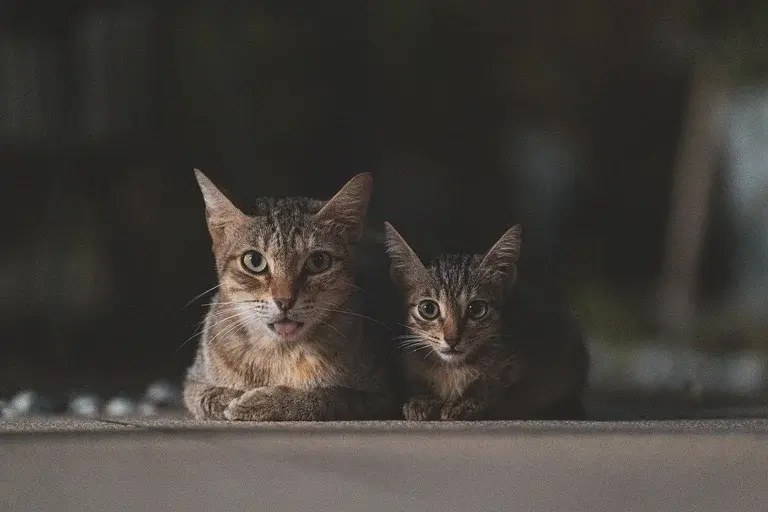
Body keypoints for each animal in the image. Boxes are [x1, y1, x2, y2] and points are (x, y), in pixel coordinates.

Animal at [183, 170, 392, 418]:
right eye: (254, 261)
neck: (281, 355)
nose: (284, 301)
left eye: (318, 261)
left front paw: (262, 402)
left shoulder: (381, 397)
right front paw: (231, 398)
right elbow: (206, 396)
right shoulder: (194, 382)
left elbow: (326, 397)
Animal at [384, 223, 588, 420]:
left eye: (476, 309)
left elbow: (497, 385)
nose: (452, 339)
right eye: (428, 309)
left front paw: (466, 402)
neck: (453, 368)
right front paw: (422, 399)